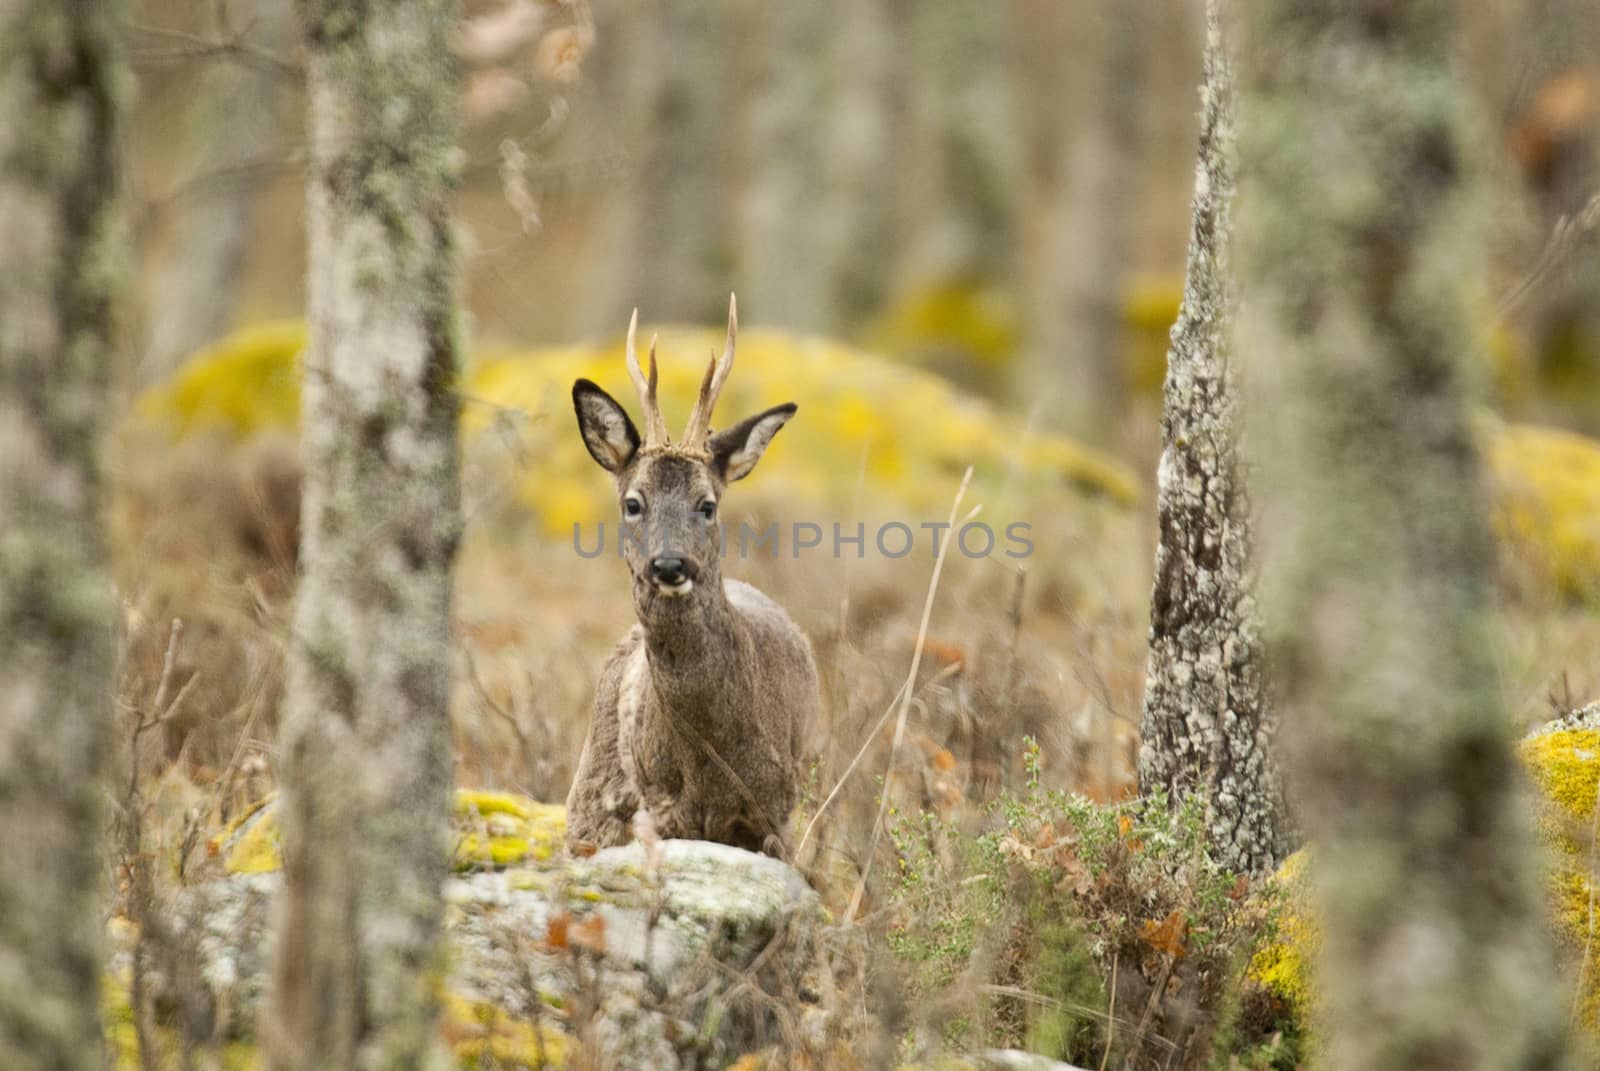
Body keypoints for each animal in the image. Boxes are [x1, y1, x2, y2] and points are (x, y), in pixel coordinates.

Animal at [566, 294, 819, 858]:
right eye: (633, 503)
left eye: (707, 505)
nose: (669, 564)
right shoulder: (665, 812)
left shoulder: (777, 812)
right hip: (589, 804)